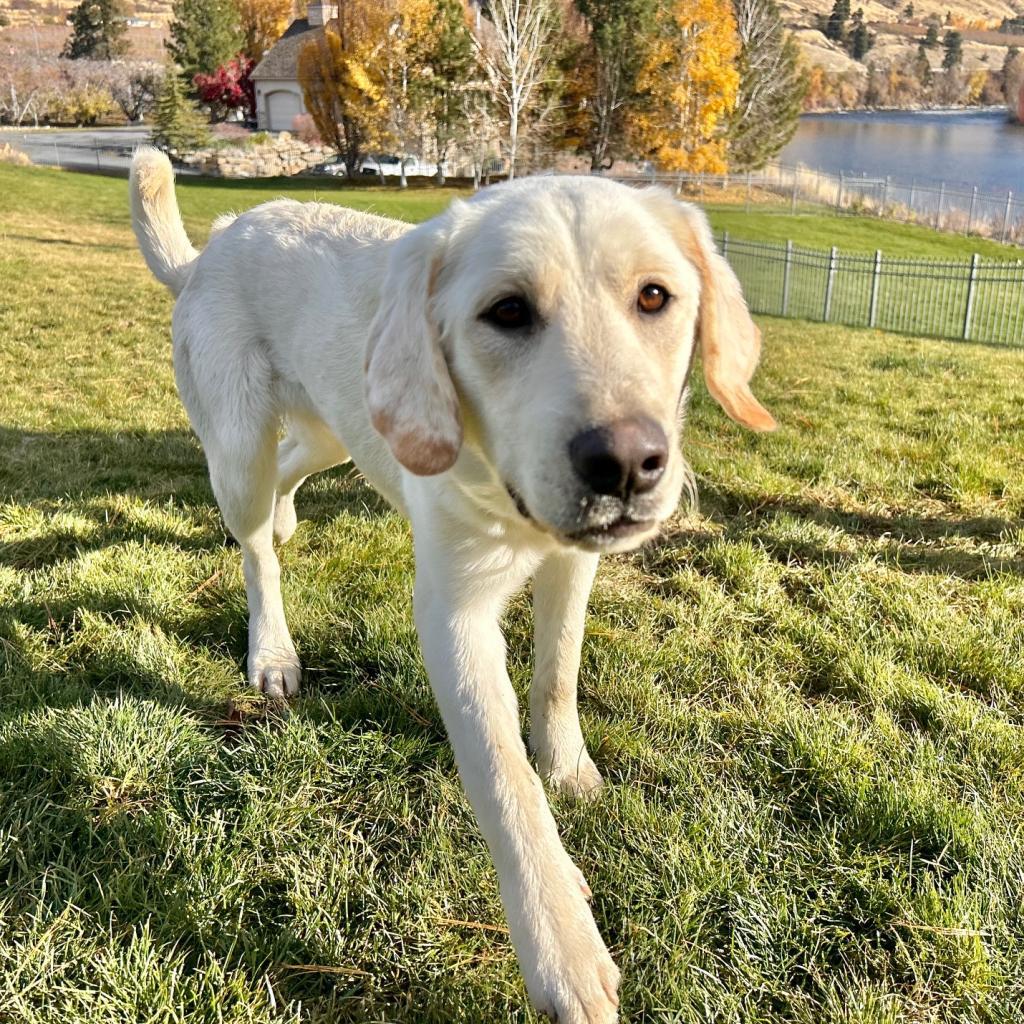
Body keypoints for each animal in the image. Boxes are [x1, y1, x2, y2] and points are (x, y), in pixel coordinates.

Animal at [132, 146, 774, 1024]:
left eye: (654, 297)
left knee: (295, 472)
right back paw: (273, 651)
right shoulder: (453, 616)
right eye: (507, 312)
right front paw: (563, 948)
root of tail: (219, 241)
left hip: (342, 429)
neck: (499, 489)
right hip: (238, 453)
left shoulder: (573, 566)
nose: (626, 464)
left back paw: (294, 521)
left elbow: (557, 679)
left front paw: (568, 768)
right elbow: (506, 784)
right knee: (257, 551)